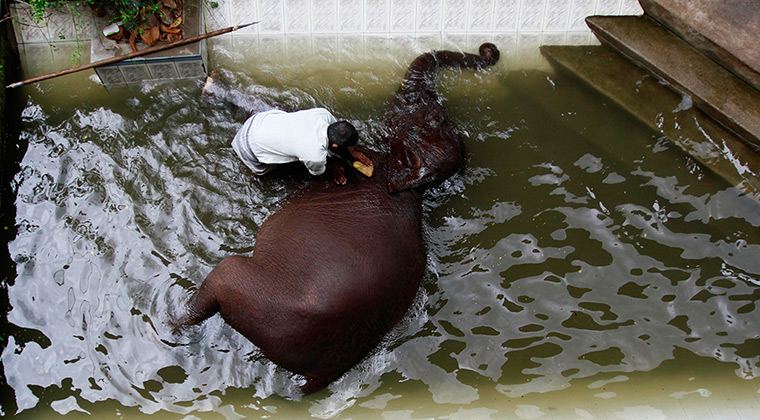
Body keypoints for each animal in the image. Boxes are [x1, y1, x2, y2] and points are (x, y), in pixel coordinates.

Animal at [179, 43, 500, 393]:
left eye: (433, 117)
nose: (489, 51)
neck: (414, 187)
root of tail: (319, 374)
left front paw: (212, 87)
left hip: (252, 295)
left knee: (221, 276)